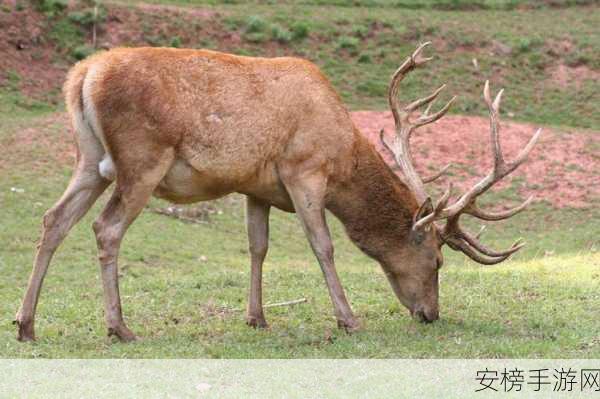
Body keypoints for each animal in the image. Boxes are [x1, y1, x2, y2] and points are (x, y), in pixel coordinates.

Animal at [14, 43, 540, 344]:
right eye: (437, 260)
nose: (430, 315)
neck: (343, 154)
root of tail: (82, 76)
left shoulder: (257, 187)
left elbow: (257, 247)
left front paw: (257, 317)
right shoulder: (303, 169)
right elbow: (323, 246)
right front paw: (348, 319)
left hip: (89, 160)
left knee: (52, 219)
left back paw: (26, 324)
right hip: (142, 158)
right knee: (106, 228)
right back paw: (119, 327)